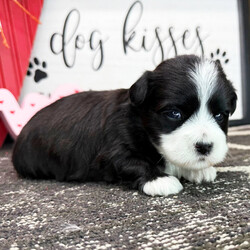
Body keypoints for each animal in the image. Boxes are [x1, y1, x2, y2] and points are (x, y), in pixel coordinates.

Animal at [12, 54, 236, 195]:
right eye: (175, 113)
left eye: (219, 115)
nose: (205, 147)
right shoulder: (113, 149)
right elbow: (132, 162)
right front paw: (158, 179)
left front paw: (199, 170)